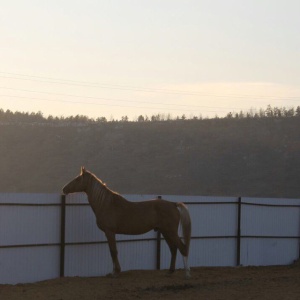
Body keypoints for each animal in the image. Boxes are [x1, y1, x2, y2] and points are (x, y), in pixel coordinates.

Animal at [62, 166, 191, 278]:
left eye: (78, 179)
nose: (64, 189)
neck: (107, 204)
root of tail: (173, 204)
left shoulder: (110, 232)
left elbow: (113, 251)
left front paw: (116, 272)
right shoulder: (108, 233)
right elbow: (112, 251)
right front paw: (113, 271)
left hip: (171, 232)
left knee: (182, 248)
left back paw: (186, 274)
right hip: (165, 232)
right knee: (173, 249)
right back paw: (170, 271)